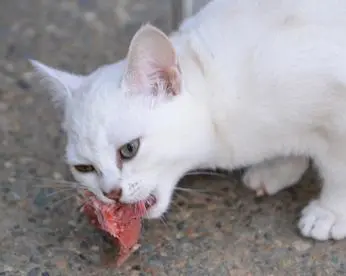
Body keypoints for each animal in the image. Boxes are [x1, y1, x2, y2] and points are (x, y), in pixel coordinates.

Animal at [31, 0, 346, 242]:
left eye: (129, 149)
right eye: (83, 168)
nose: (111, 193)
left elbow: (338, 169)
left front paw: (330, 212)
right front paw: (281, 166)